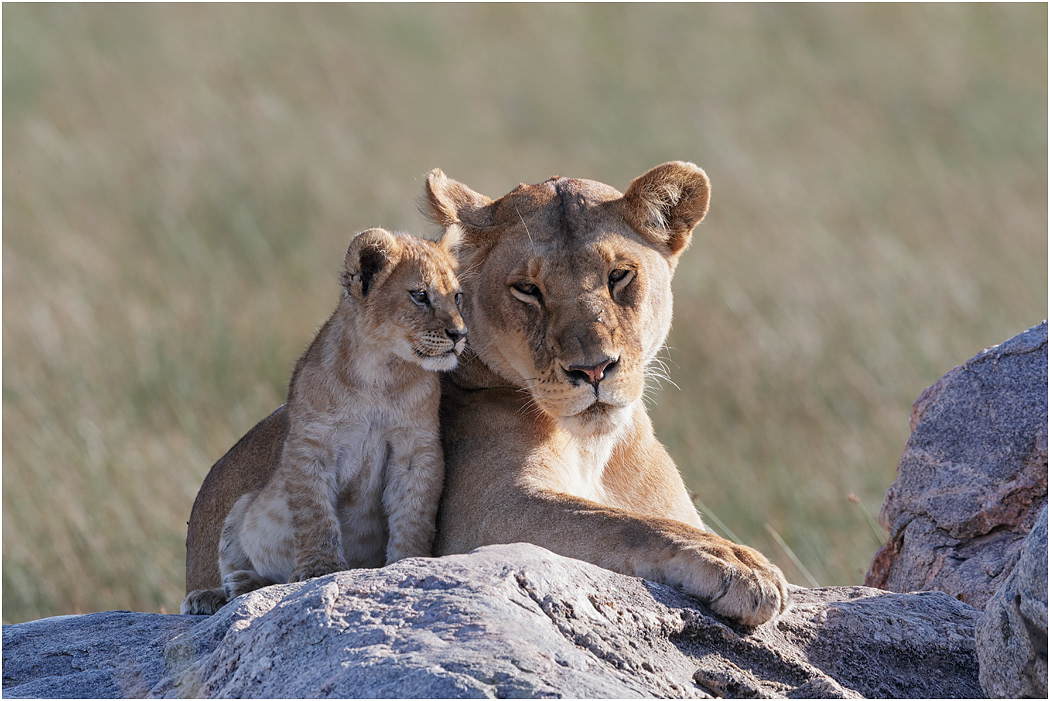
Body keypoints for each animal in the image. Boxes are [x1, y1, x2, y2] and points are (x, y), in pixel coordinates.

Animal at [181, 228, 466, 615]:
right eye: (420, 295)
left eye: (458, 297)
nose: (460, 335)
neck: (382, 372)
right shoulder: (309, 444)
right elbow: (315, 514)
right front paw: (320, 570)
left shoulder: (417, 450)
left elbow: (414, 513)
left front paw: (407, 563)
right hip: (239, 509)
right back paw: (222, 590)